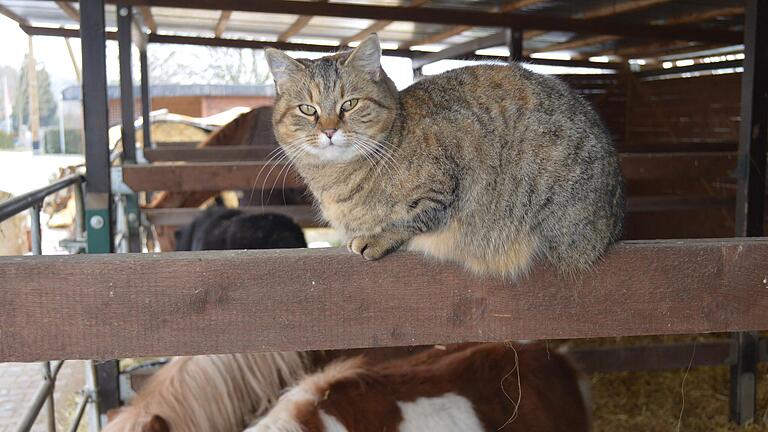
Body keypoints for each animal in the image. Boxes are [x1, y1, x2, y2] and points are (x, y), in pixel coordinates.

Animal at [264, 33, 624, 276]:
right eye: (307, 109)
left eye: (349, 104)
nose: (329, 130)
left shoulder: (445, 180)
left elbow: (413, 217)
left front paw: (378, 237)